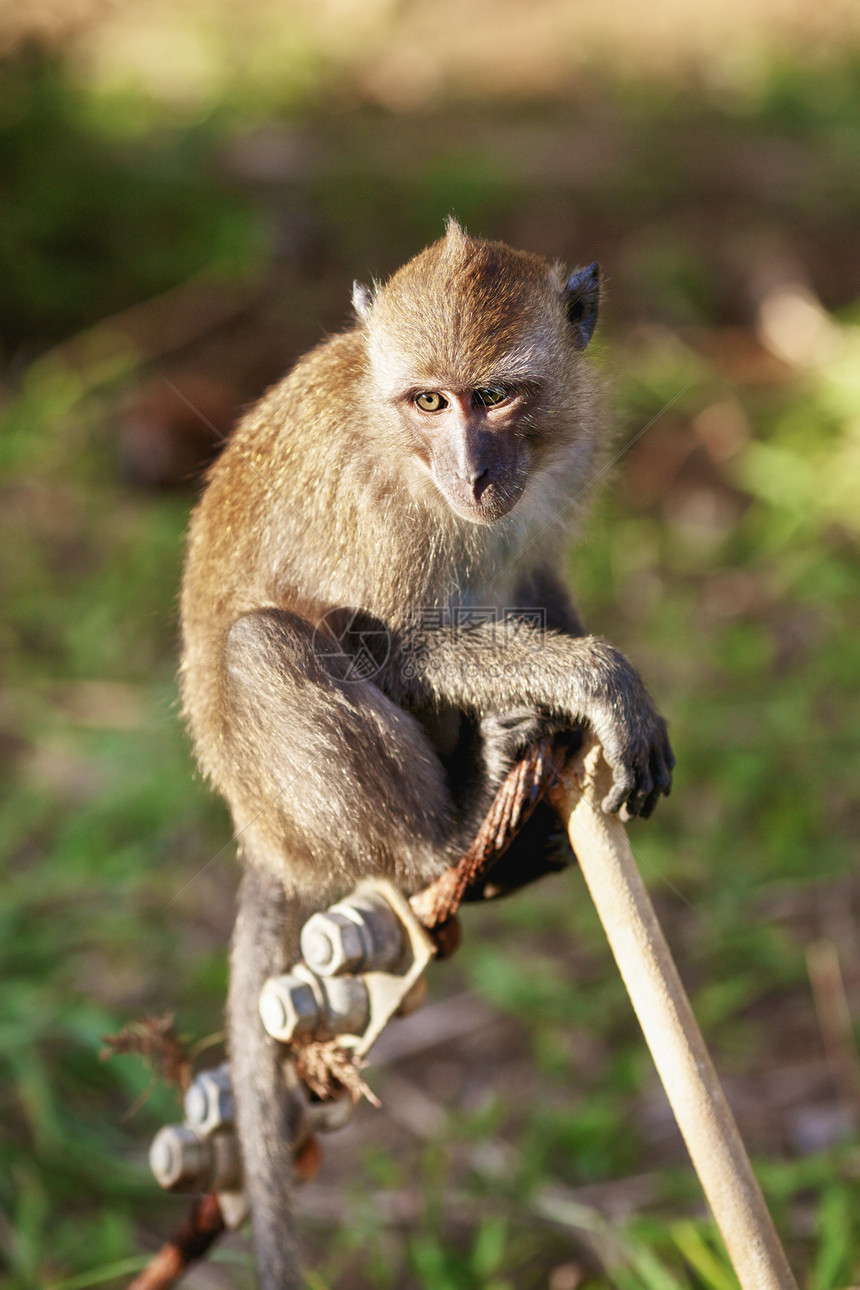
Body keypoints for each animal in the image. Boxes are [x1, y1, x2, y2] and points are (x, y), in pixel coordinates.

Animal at [181, 219, 675, 1279]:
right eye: (430, 401)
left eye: (495, 395)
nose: (476, 474)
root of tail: (258, 835)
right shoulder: (387, 507)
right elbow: (388, 645)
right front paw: (595, 679)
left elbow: (534, 577)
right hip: (303, 813)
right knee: (265, 647)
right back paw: (454, 835)